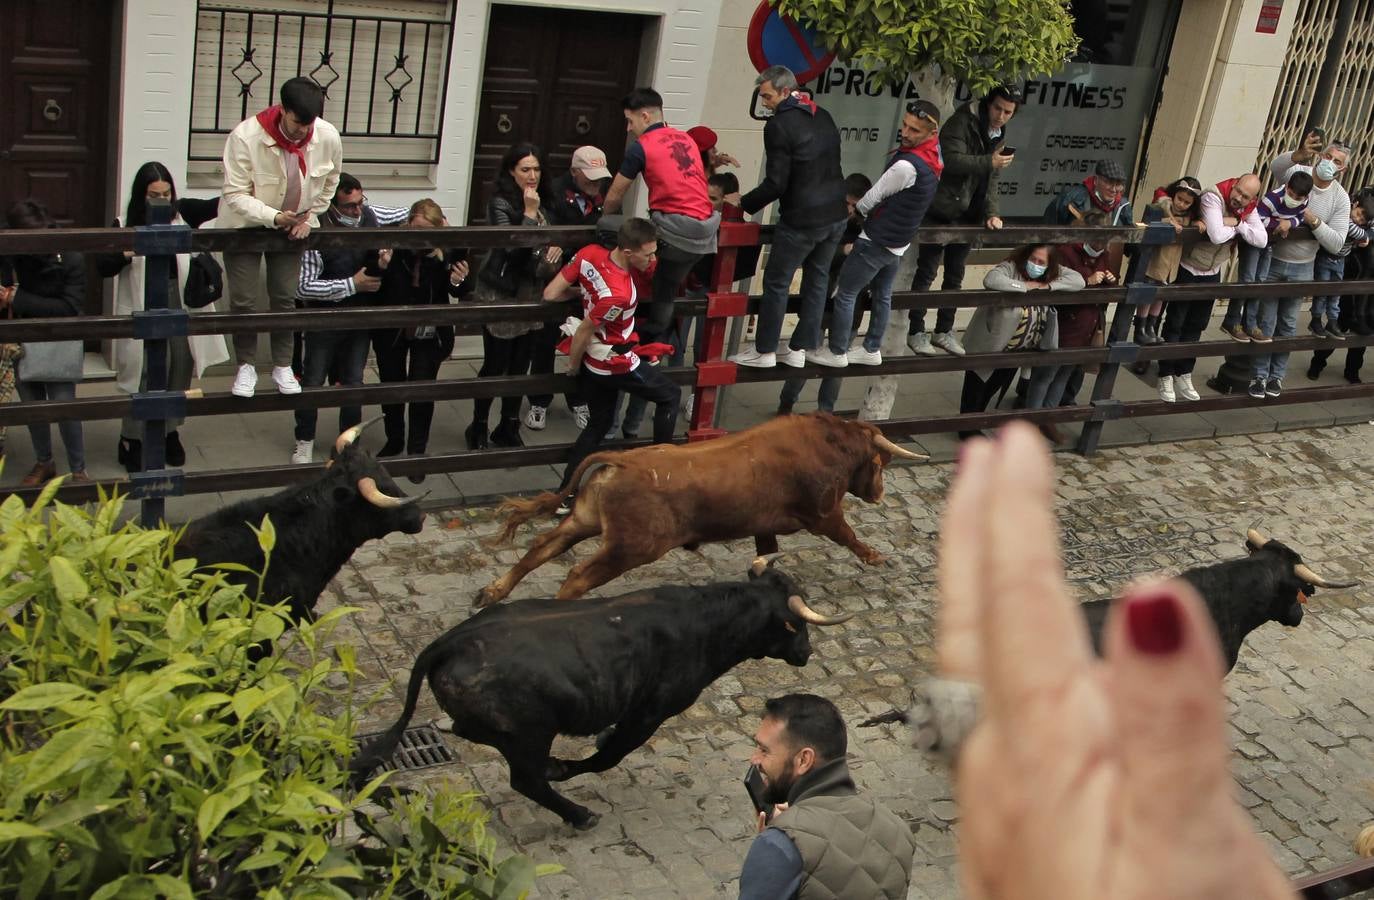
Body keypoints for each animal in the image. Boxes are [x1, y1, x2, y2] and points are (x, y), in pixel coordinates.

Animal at [351, 560, 846, 835]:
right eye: (796, 626)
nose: (806, 652)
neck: (706, 621)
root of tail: (450, 642)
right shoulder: (650, 712)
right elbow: (609, 755)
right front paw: (567, 767)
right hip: (530, 732)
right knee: (525, 778)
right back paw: (578, 813)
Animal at [472, 414, 923, 610]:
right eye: (880, 464)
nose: (880, 494)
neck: (826, 442)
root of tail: (623, 461)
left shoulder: (765, 525)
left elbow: (766, 551)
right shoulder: (823, 515)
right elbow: (847, 534)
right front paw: (875, 556)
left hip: (584, 520)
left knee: (542, 547)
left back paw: (491, 592)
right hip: (630, 547)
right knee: (578, 575)